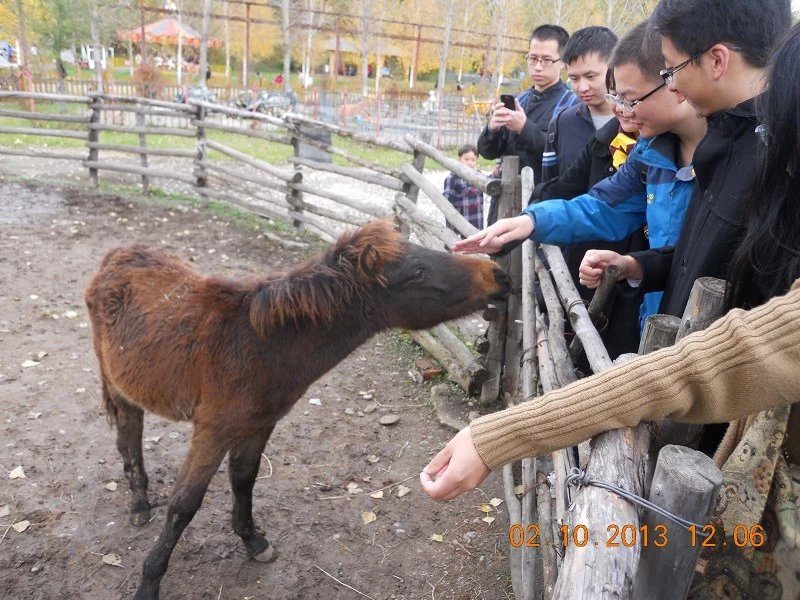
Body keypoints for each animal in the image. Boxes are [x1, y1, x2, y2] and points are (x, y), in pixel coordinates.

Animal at [84, 220, 510, 600]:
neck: (261, 344)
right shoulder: (213, 430)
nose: (499, 274)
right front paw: (149, 583)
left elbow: (244, 479)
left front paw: (253, 541)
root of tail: (116, 256)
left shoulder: (260, 424)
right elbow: (184, 504)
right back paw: (139, 502)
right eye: (418, 271)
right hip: (119, 385)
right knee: (129, 435)